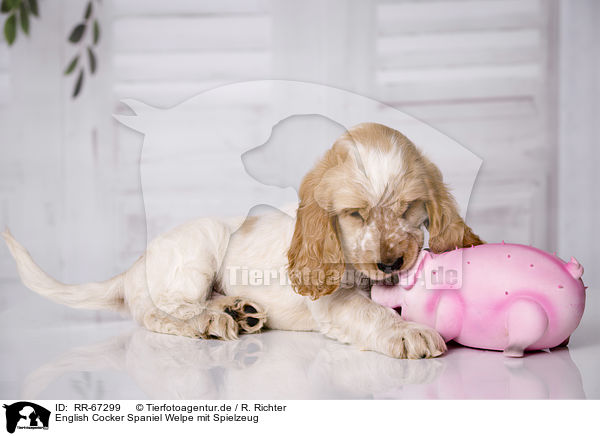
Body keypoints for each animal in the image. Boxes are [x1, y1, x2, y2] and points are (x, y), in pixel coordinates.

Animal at [2, 122, 482, 358]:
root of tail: (133, 268)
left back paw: (240, 309)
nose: (390, 264)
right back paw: (210, 321)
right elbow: (371, 312)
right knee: (161, 312)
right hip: (202, 242)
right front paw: (409, 333)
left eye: (408, 208)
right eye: (355, 214)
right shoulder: (334, 301)